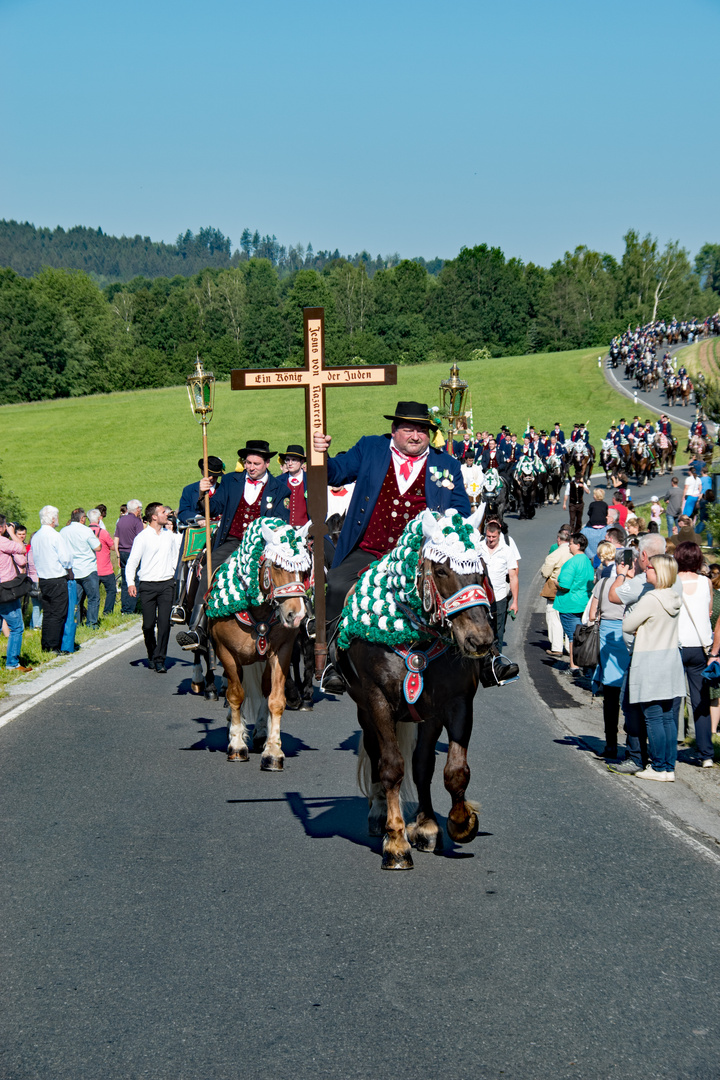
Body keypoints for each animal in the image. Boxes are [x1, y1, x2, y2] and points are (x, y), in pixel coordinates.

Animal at [208, 520, 310, 768]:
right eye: (277, 566)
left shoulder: (281, 652)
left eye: (305, 570)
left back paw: (262, 733)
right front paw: (236, 745)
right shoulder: (226, 652)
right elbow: (236, 695)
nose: (297, 615)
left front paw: (273, 751)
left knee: (264, 690)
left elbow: (275, 699)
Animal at [336, 509, 496, 872]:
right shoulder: (378, 703)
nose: (480, 641)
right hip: (365, 710)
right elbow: (392, 767)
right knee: (377, 754)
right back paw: (380, 813)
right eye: (441, 570)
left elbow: (449, 769)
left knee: (422, 763)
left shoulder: (454, 704)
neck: (416, 640)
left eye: (482, 570)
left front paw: (452, 823)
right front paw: (396, 843)